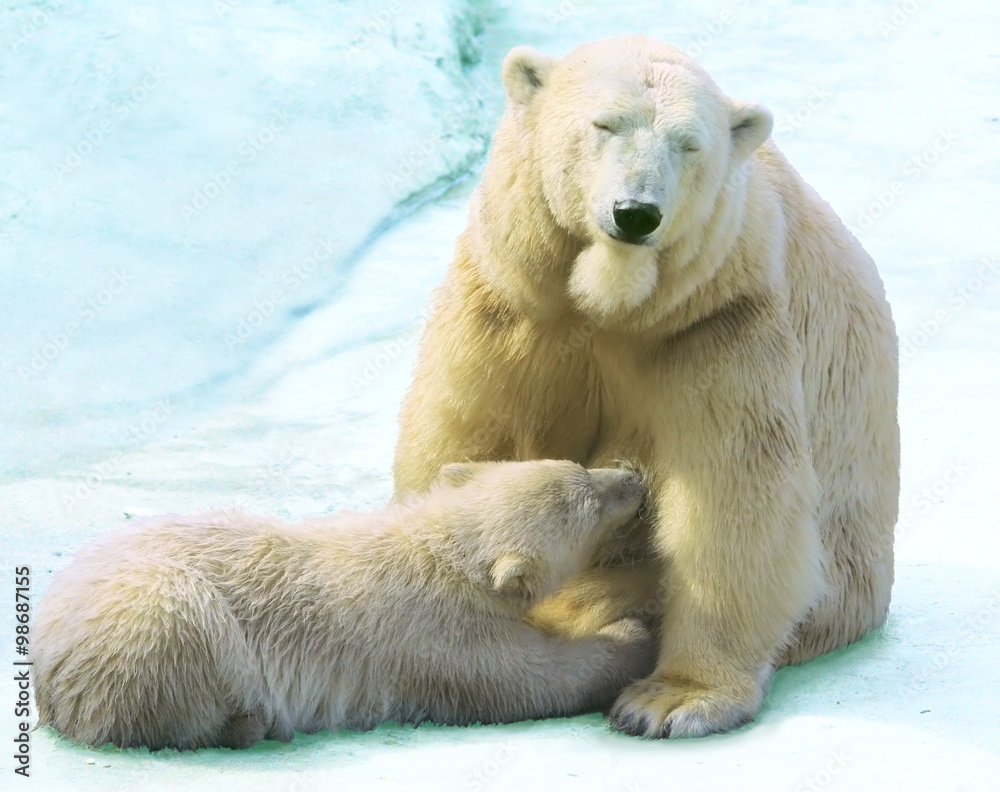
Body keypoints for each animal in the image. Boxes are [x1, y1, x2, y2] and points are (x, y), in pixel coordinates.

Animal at [392, 35, 900, 744]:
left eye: (688, 144)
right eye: (603, 125)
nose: (635, 214)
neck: (615, 302)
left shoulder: (716, 323)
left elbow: (732, 496)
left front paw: (672, 699)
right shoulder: (514, 302)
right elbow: (469, 436)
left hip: (843, 571)